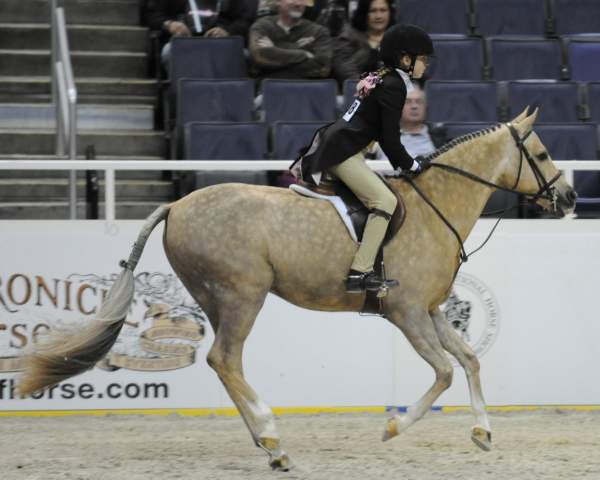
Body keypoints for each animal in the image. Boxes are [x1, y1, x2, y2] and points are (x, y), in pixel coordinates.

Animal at [19, 108, 576, 468]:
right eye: (543, 152)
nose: (569, 198)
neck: (434, 205)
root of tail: (177, 205)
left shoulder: (433, 310)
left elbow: (470, 360)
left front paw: (483, 431)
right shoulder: (407, 312)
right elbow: (442, 372)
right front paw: (393, 428)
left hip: (216, 298)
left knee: (225, 363)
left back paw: (269, 445)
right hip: (243, 294)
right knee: (224, 358)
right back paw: (272, 435)